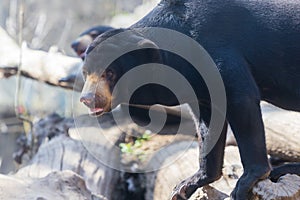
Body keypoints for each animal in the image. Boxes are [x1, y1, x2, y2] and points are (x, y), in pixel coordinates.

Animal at [78, 0, 298, 199]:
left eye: (110, 73)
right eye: (85, 72)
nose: (88, 99)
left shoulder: (221, 58)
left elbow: (242, 101)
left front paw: (245, 184)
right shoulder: (197, 86)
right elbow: (208, 125)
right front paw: (185, 185)